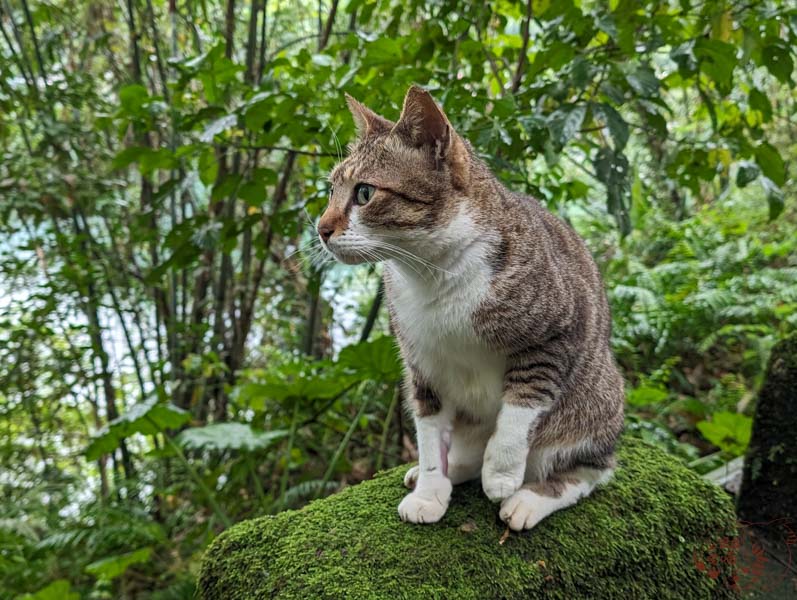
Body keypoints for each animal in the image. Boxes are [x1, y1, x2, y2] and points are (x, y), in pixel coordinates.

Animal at [316, 84, 620, 528]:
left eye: (364, 192)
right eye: (331, 191)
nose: (320, 229)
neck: (432, 274)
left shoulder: (558, 330)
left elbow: (522, 404)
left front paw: (502, 473)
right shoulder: (421, 361)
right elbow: (428, 432)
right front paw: (429, 490)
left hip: (596, 401)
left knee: (589, 470)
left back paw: (529, 497)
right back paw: (450, 469)